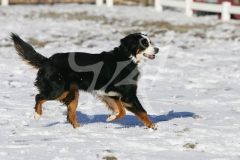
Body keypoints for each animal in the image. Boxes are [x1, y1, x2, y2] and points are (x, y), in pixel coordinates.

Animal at [10, 32, 159, 129]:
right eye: (144, 43)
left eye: (150, 42)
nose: (157, 49)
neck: (127, 57)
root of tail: (47, 60)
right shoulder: (128, 94)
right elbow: (142, 111)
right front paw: (153, 126)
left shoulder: (109, 93)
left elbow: (121, 111)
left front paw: (111, 117)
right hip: (58, 90)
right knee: (39, 96)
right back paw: (37, 115)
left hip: (72, 94)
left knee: (70, 115)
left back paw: (79, 129)